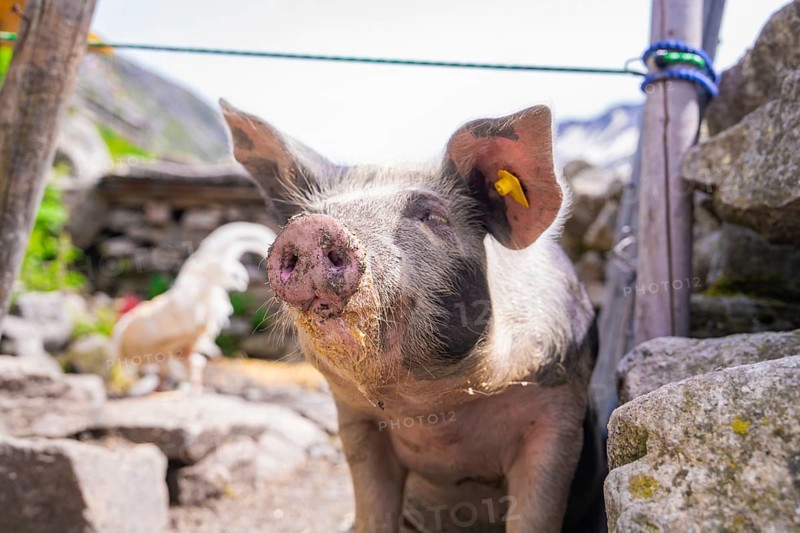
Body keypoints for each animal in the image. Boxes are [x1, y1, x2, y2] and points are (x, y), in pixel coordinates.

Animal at [221, 100, 604, 533]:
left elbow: (537, 513)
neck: (432, 411)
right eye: (313, 212)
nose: (309, 229)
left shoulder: (559, 410)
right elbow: (372, 511)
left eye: (431, 216)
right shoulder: (356, 422)